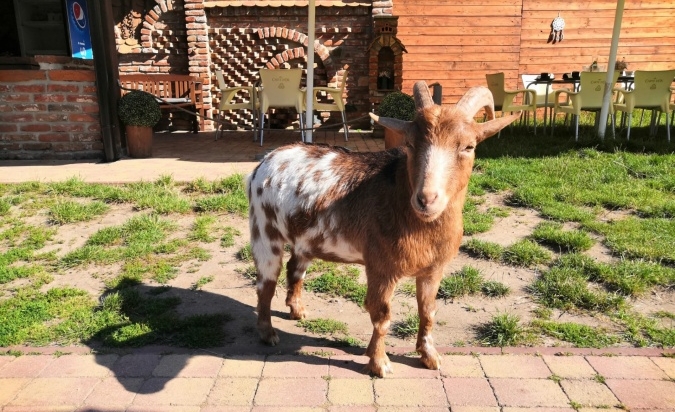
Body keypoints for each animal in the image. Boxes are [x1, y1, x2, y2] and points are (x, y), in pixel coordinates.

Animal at [246, 82, 520, 378]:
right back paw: (268, 333)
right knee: (265, 283)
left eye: (469, 147)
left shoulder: (433, 269)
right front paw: (379, 362)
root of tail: (265, 161)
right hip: (264, 230)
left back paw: (297, 310)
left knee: (295, 269)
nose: (426, 199)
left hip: (305, 238)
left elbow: (428, 311)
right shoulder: (381, 266)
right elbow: (382, 315)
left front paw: (430, 356)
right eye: (409, 144)